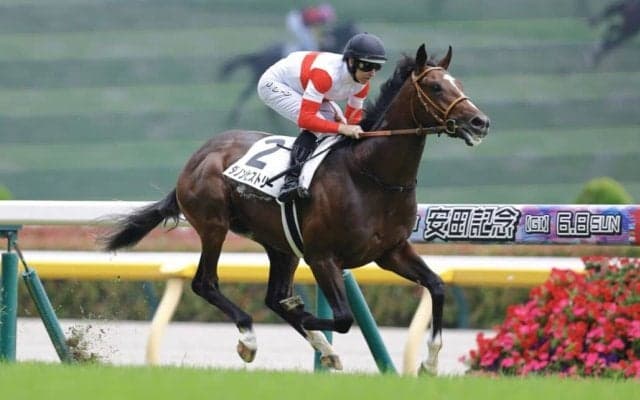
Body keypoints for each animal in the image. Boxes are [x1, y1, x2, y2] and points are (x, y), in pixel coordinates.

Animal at [101, 44, 490, 374]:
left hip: (280, 244)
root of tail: (197, 157)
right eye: (436, 87)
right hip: (214, 225)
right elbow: (342, 317)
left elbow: (437, 285)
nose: (480, 122)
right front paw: (303, 316)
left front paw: (430, 363)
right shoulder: (323, 256)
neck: (370, 175)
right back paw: (250, 339)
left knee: (273, 296)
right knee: (205, 283)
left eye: (458, 84)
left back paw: (323, 348)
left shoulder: (391, 251)